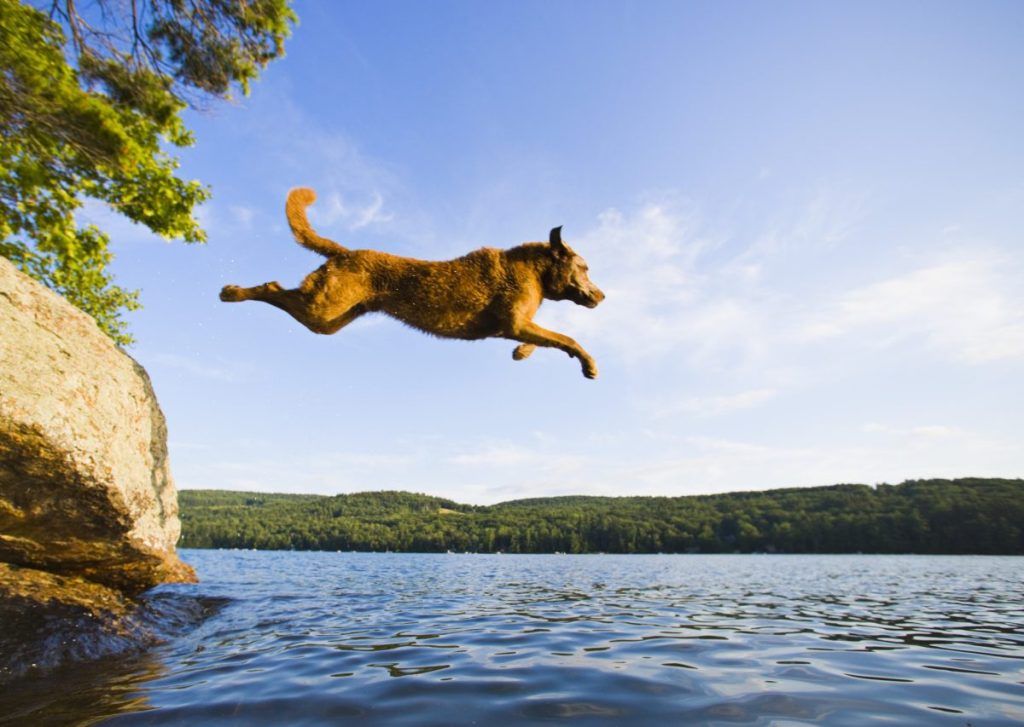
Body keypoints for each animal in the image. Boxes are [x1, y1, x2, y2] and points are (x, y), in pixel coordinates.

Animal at [220, 188, 602, 378]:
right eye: (584, 267)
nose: (601, 295)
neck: (534, 271)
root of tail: (345, 252)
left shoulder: (519, 326)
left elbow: (548, 340)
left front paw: (521, 353)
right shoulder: (516, 323)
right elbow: (567, 338)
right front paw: (588, 364)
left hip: (330, 320)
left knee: (280, 294)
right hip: (321, 307)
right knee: (271, 288)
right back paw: (232, 293)